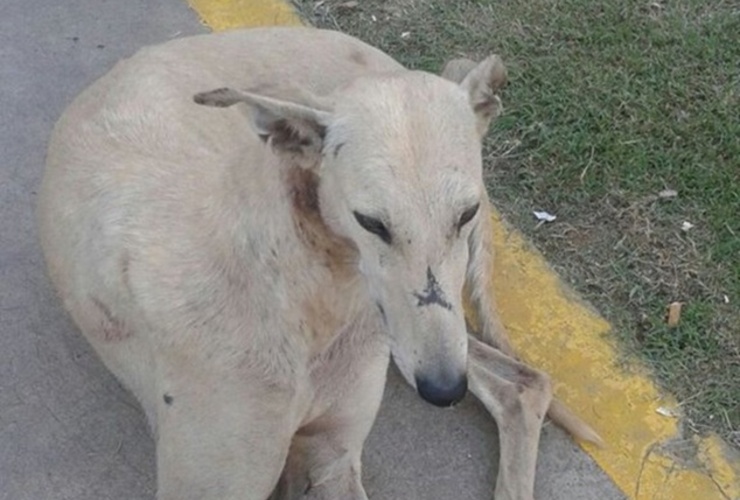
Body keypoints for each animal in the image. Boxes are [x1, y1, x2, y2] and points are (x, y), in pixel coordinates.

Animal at [37, 27, 600, 500]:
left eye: (467, 212)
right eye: (371, 222)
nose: (444, 391)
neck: (297, 290)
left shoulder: (330, 455)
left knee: (524, 381)